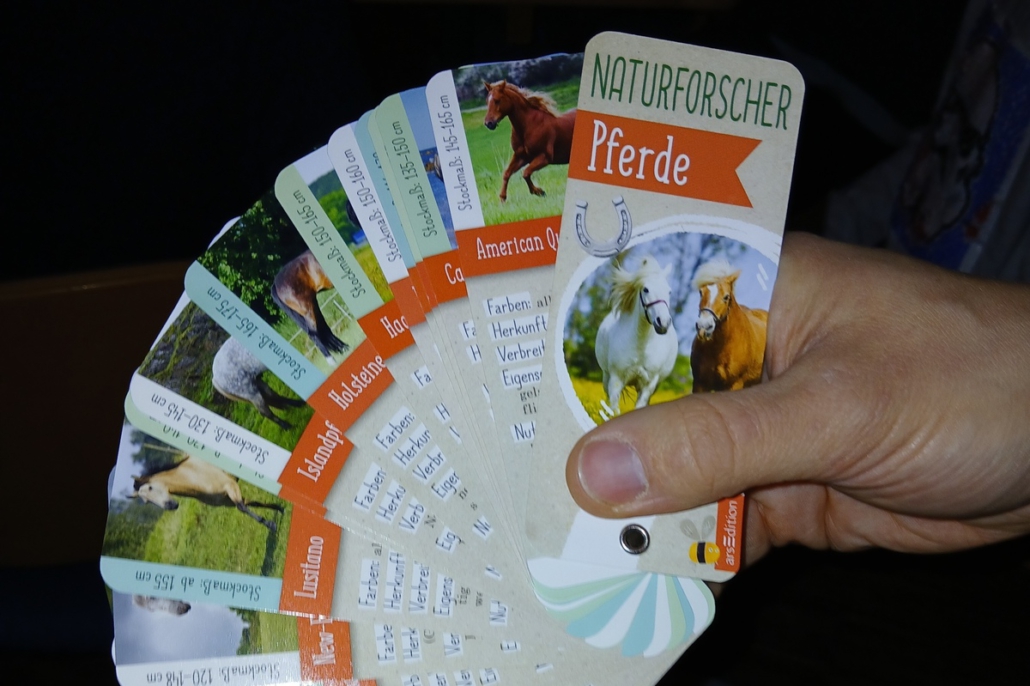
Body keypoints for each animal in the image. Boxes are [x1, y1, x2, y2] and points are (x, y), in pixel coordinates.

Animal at [131, 457, 284, 532]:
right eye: (146, 501)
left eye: (150, 488)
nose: (171, 506)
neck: (195, 476)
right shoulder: (227, 500)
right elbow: (252, 503)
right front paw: (280, 509)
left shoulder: (230, 486)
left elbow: (242, 507)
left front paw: (271, 525)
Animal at [595, 255, 678, 416]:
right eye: (646, 289)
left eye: (669, 291)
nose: (663, 323)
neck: (641, 344)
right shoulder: (615, 380)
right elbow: (614, 409)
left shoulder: (648, 385)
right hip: (606, 377)